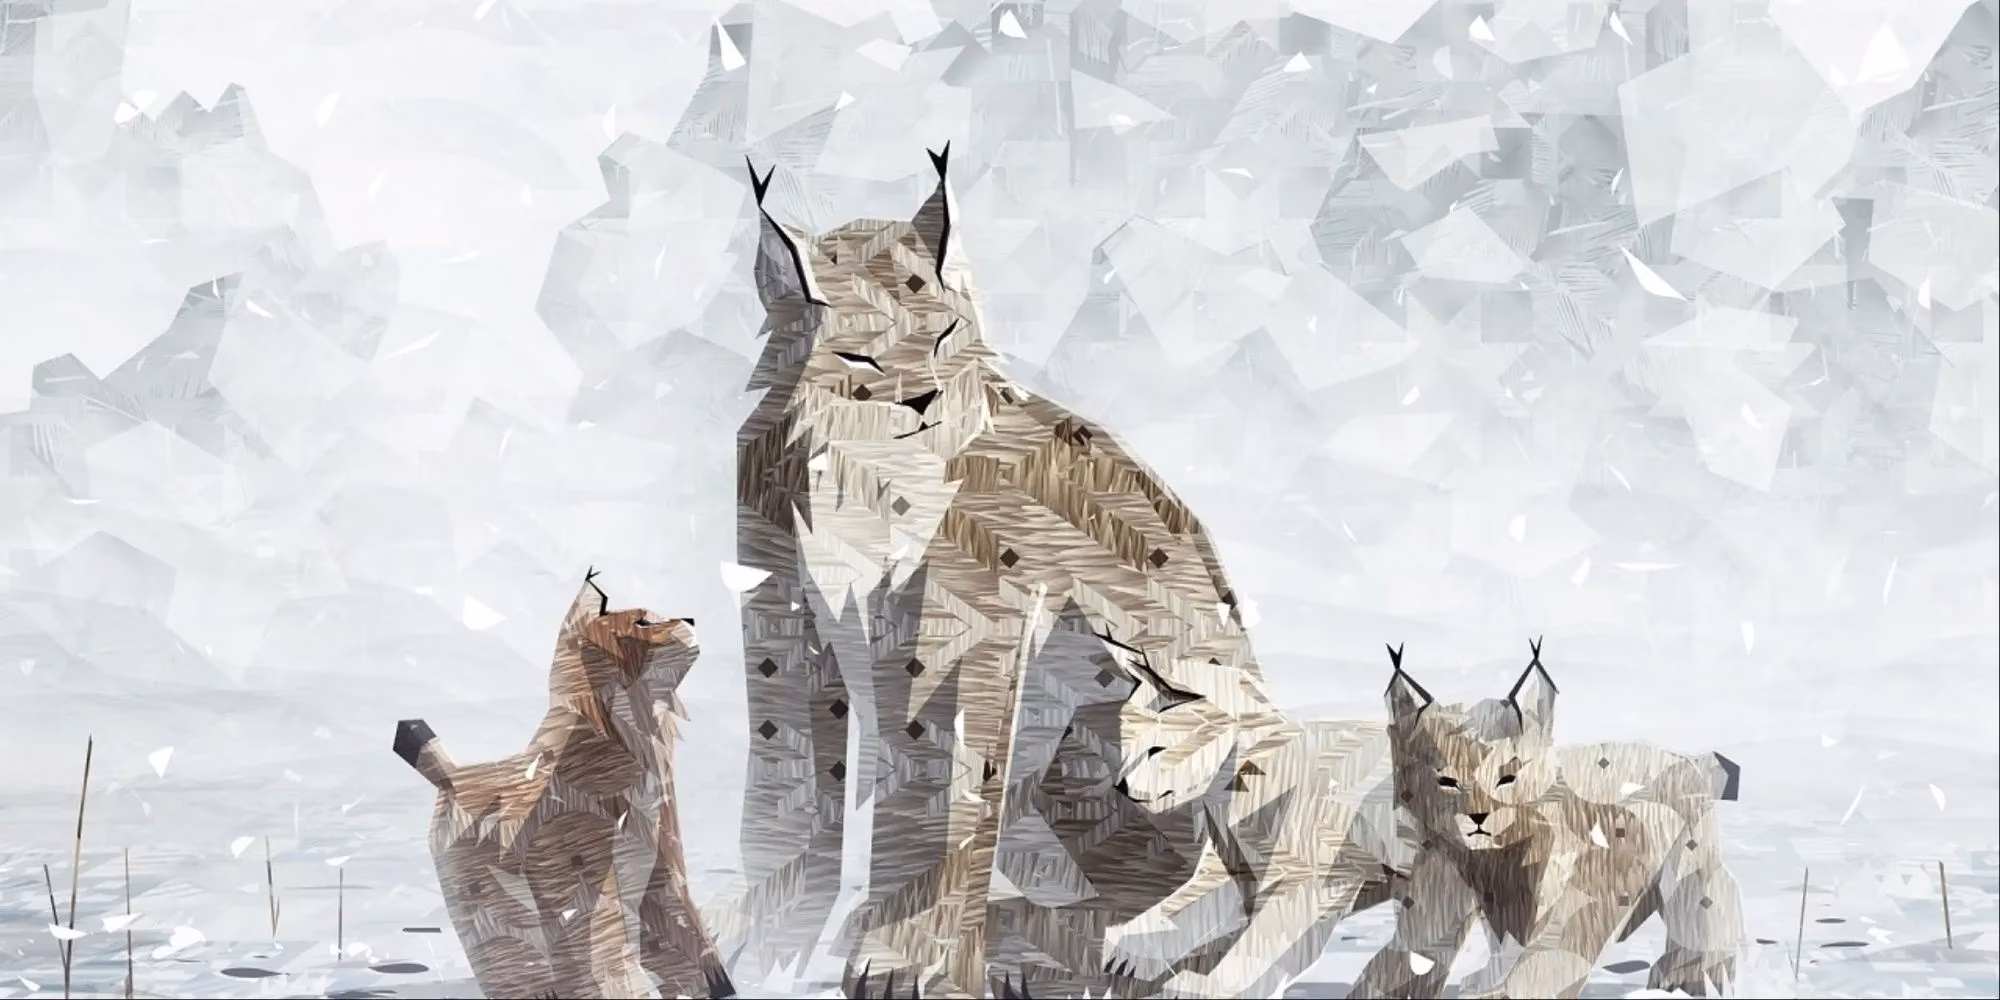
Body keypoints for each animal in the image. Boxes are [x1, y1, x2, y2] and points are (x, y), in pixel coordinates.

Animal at [1349, 640, 1745, 999]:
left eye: (1507, 777)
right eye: (1446, 781)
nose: (1477, 816)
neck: (1495, 858)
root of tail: (1684, 755)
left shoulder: (1579, 907)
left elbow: (1543, 965)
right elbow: (1405, 959)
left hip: (1690, 873)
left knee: (1705, 918)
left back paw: (1688, 978)